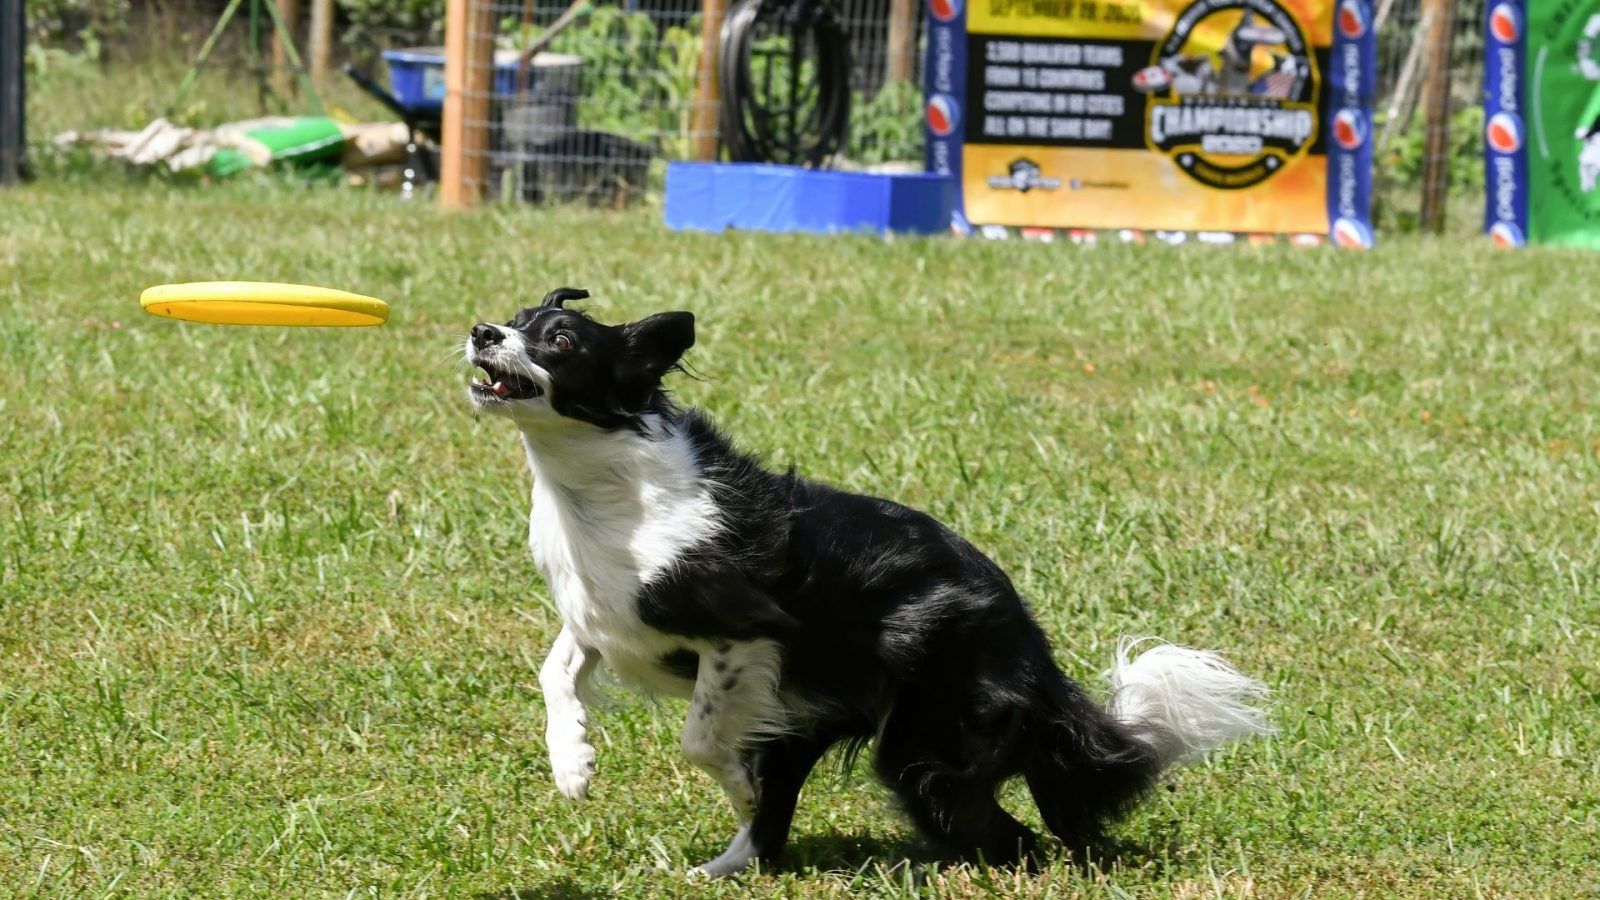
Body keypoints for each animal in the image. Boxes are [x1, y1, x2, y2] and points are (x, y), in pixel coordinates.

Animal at [467, 288, 1273, 877]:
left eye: (561, 341)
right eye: (514, 320)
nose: (480, 332)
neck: (603, 484)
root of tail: (1034, 655)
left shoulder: (745, 632)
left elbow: (700, 736)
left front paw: (728, 780)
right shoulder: (607, 616)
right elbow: (556, 672)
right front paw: (573, 763)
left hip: (923, 745)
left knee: (1011, 836)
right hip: (830, 727)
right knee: (783, 827)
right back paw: (721, 868)